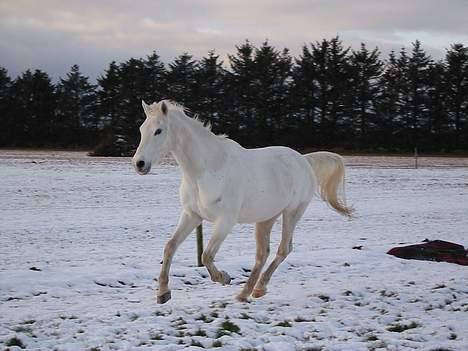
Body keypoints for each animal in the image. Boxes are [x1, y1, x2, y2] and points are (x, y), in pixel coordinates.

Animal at [132, 100, 352, 304]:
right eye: (142, 129)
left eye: (159, 131)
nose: (139, 164)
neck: (207, 170)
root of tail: (304, 161)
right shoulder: (192, 215)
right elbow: (170, 246)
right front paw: (163, 293)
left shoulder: (225, 221)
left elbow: (206, 255)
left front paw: (223, 277)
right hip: (266, 218)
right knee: (263, 254)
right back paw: (249, 292)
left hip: (292, 212)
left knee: (283, 249)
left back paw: (255, 289)